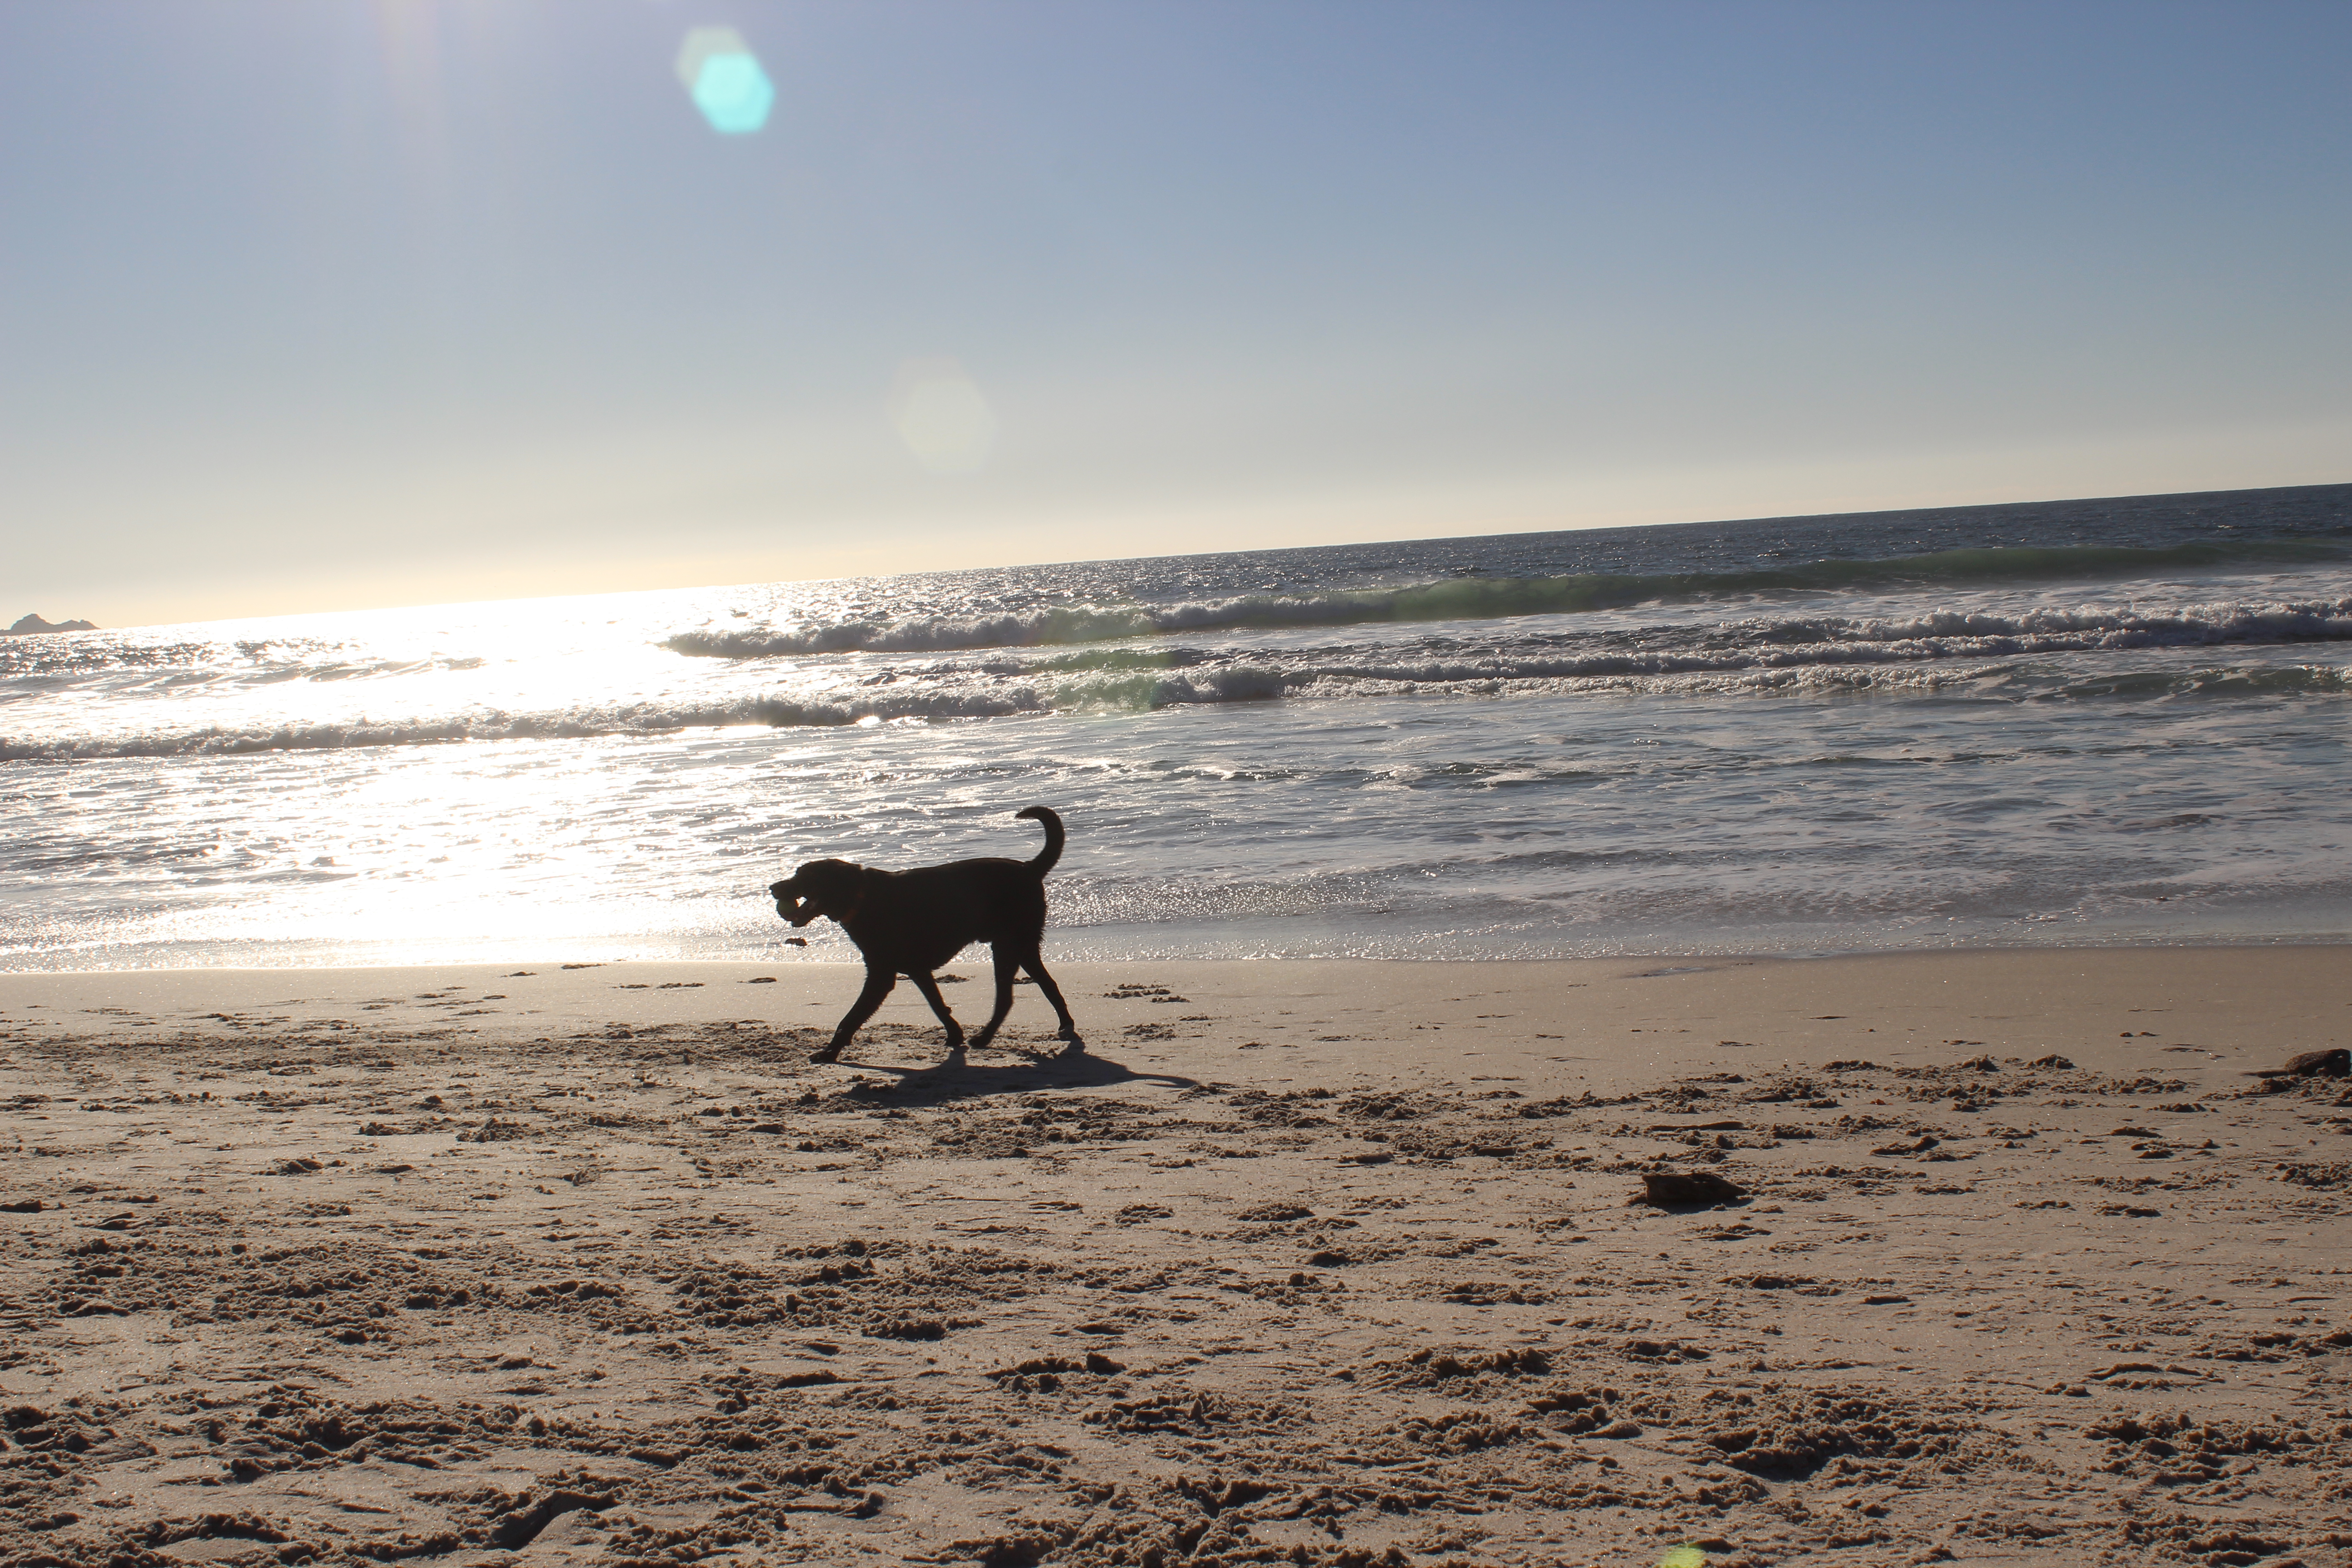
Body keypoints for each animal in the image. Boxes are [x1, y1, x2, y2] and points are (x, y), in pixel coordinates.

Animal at [771, 808, 1082, 1067]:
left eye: (803, 876)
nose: (773, 887)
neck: (861, 897)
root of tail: (1030, 868)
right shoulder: (917, 969)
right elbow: (937, 1004)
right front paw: (954, 1035)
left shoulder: (882, 975)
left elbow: (851, 1018)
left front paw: (829, 1053)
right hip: (1021, 947)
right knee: (1047, 985)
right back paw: (1062, 1026)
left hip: (1008, 946)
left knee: (1008, 997)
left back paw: (985, 1037)